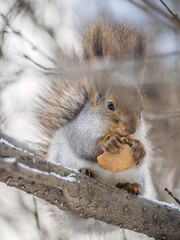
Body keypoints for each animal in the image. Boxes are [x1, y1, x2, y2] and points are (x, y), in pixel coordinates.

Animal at [36, 20, 155, 240]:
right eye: (110, 105)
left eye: (142, 109)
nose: (131, 128)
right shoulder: (79, 131)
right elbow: (84, 146)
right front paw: (107, 143)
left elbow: (143, 154)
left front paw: (140, 150)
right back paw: (85, 172)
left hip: (138, 177)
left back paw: (130, 186)